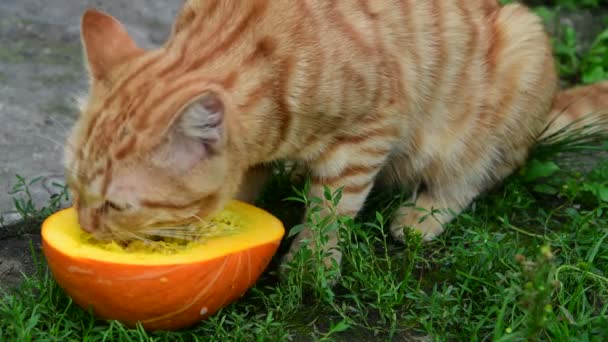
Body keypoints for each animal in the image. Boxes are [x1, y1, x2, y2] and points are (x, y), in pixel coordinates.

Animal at [66, 0, 608, 272]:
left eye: (116, 205)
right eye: (74, 188)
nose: (87, 228)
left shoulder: (368, 134)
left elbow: (333, 208)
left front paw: (312, 264)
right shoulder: (256, 154)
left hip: (514, 64)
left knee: (473, 179)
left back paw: (423, 215)